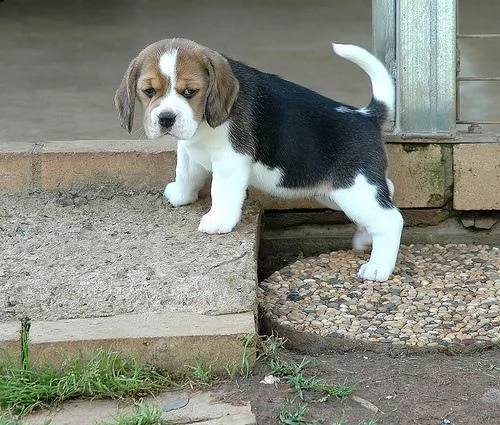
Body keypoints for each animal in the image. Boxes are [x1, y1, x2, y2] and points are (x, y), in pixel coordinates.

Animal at [115, 38, 404, 280]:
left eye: (190, 92)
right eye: (149, 91)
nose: (166, 118)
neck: (204, 122)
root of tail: (366, 116)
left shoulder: (230, 161)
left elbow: (220, 191)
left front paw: (218, 221)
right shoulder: (189, 148)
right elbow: (186, 173)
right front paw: (180, 195)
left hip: (353, 190)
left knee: (390, 219)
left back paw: (378, 267)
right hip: (335, 194)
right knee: (387, 192)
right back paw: (366, 238)